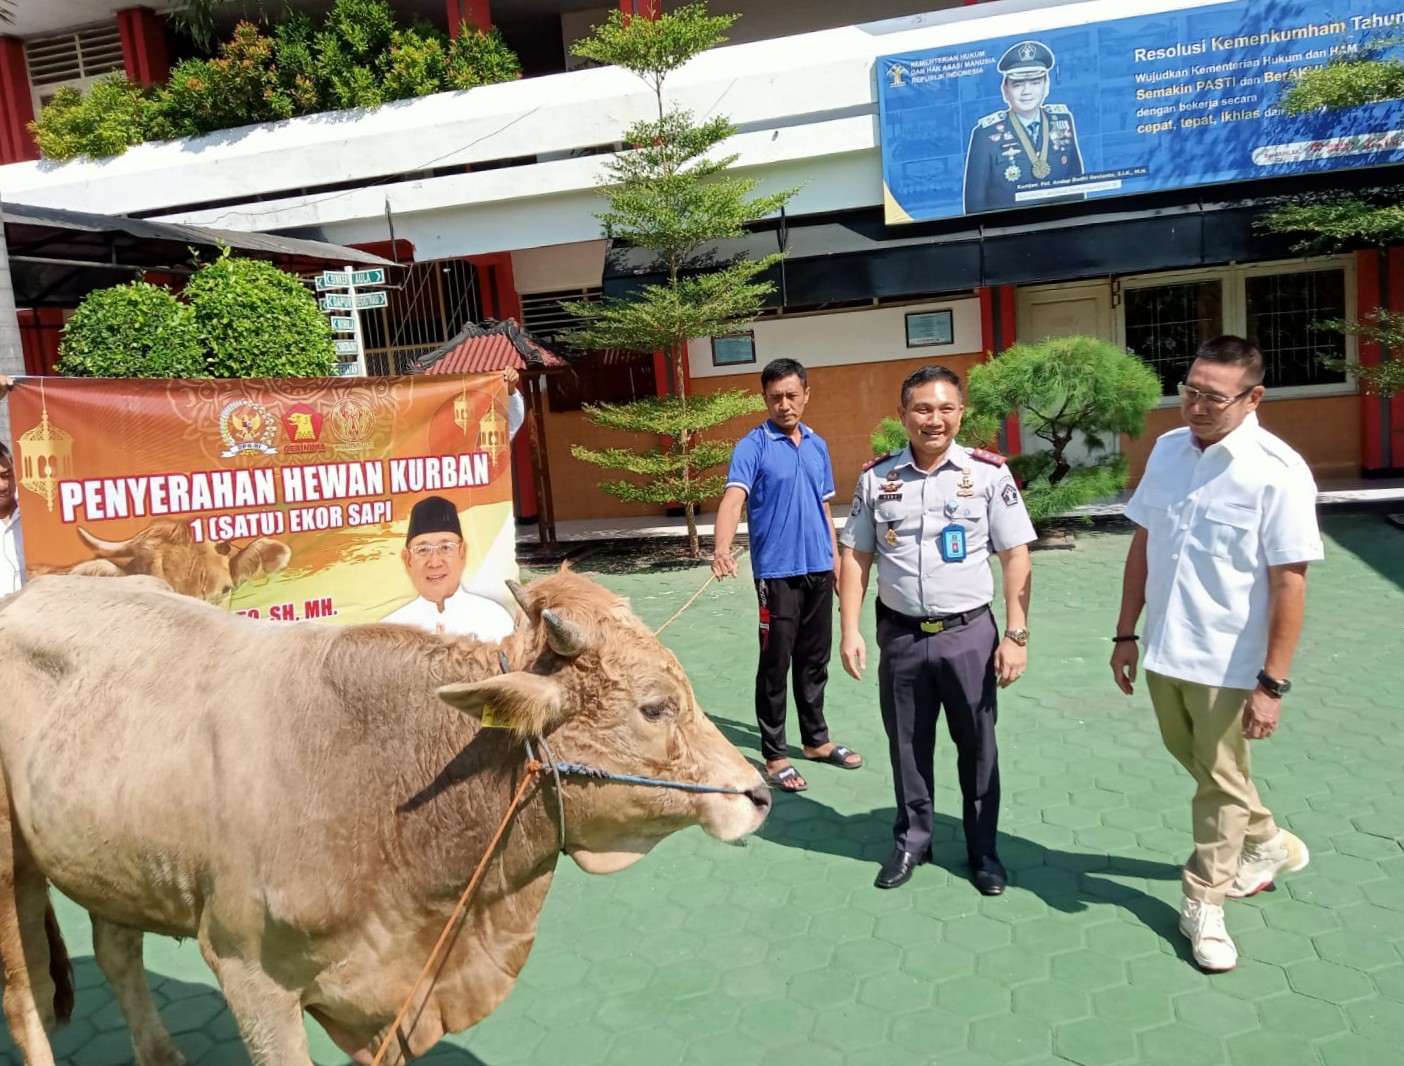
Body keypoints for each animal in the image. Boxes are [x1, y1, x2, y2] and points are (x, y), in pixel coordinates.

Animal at [0, 575, 769, 1066]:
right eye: (655, 706)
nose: (757, 794)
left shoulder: (398, 989)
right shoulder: (249, 977)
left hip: (109, 858)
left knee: (116, 952)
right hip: (14, 873)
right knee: (27, 988)